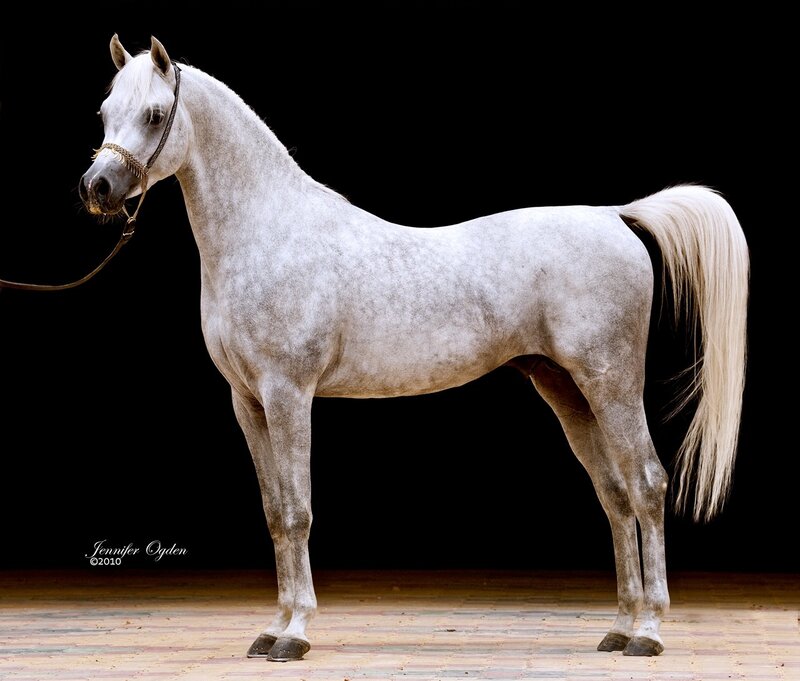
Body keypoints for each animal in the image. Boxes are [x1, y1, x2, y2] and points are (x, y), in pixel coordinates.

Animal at [79, 35, 749, 662]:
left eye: (156, 114)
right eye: (105, 109)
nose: (98, 186)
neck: (270, 233)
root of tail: (614, 216)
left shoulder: (289, 394)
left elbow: (297, 511)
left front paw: (295, 633)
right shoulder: (247, 402)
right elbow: (274, 512)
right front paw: (272, 629)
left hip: (610, 381)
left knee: (647, 484)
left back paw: (649, 632)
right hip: (565, 389)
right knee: (614, 494)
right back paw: (619, 626)